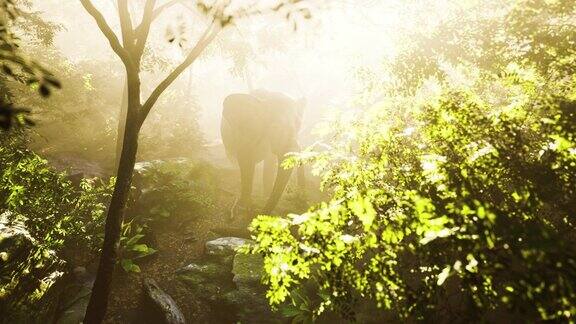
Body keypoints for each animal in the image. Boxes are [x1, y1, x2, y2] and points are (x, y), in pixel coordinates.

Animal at [220, 90, 306, 219]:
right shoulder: (245, 134)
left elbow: (270, 163)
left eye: (299, 124)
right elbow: (246, 162)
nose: (258, 213)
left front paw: (265, 196)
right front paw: (246, 205)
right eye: (275, 126)